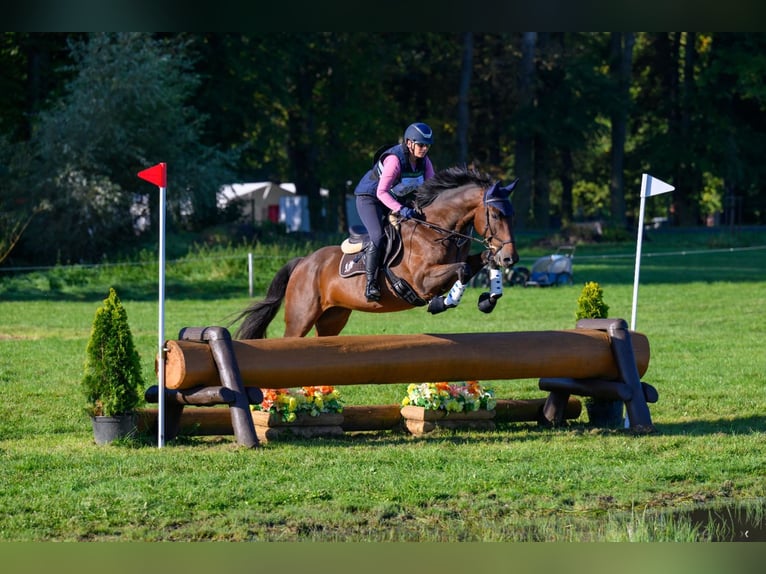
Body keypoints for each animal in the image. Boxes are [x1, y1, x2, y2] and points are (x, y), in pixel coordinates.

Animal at [232, 165, 520, 338]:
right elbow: (462, 270)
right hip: (300, 317)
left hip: (332, 317)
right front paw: (443, 302)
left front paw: (489, 298)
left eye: (511, 214)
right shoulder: (422, 281)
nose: (511, 258)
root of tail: (303, 263)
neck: (436, 230)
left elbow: (481, 261)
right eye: (496, 214)